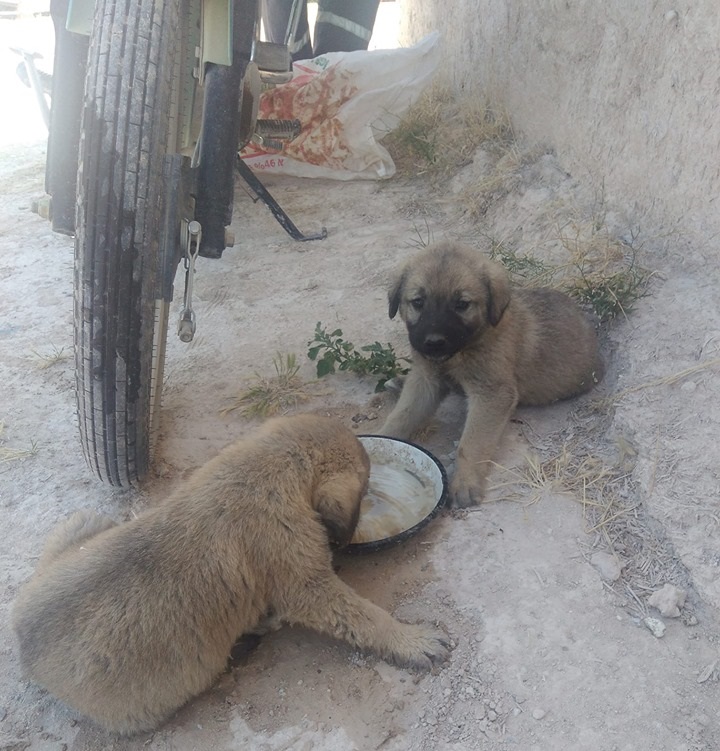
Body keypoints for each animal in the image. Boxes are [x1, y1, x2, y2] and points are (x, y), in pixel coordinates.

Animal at [9, 412, 450, 736]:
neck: (265, 464)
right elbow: (359, 614)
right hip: (153, 700)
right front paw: (414, 640)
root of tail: (23, 650)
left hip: (83, 521)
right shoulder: (300, 573)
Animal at [380, 244, 604, 508]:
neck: (462, 351)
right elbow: (401, 416)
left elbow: (472, 443)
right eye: (418, 302)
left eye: (462, 304)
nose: (434, 342)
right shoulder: (426, 379)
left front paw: (465, 482)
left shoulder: (491, 393)